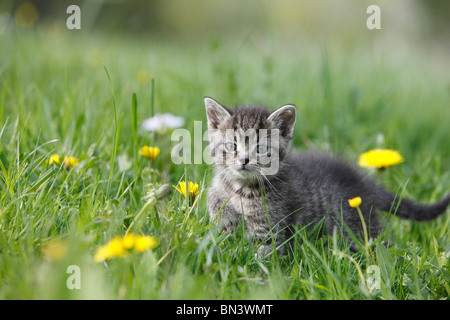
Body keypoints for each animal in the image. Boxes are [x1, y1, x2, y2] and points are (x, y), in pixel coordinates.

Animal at [205, 96, 450, 256]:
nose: (244, 160)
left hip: (357, 225)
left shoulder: (270, 226)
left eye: (260, 148)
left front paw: (257, 274)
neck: (241, 188)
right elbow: (218, 212)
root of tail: (362, 182)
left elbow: (264, 252)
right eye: (231, 145)